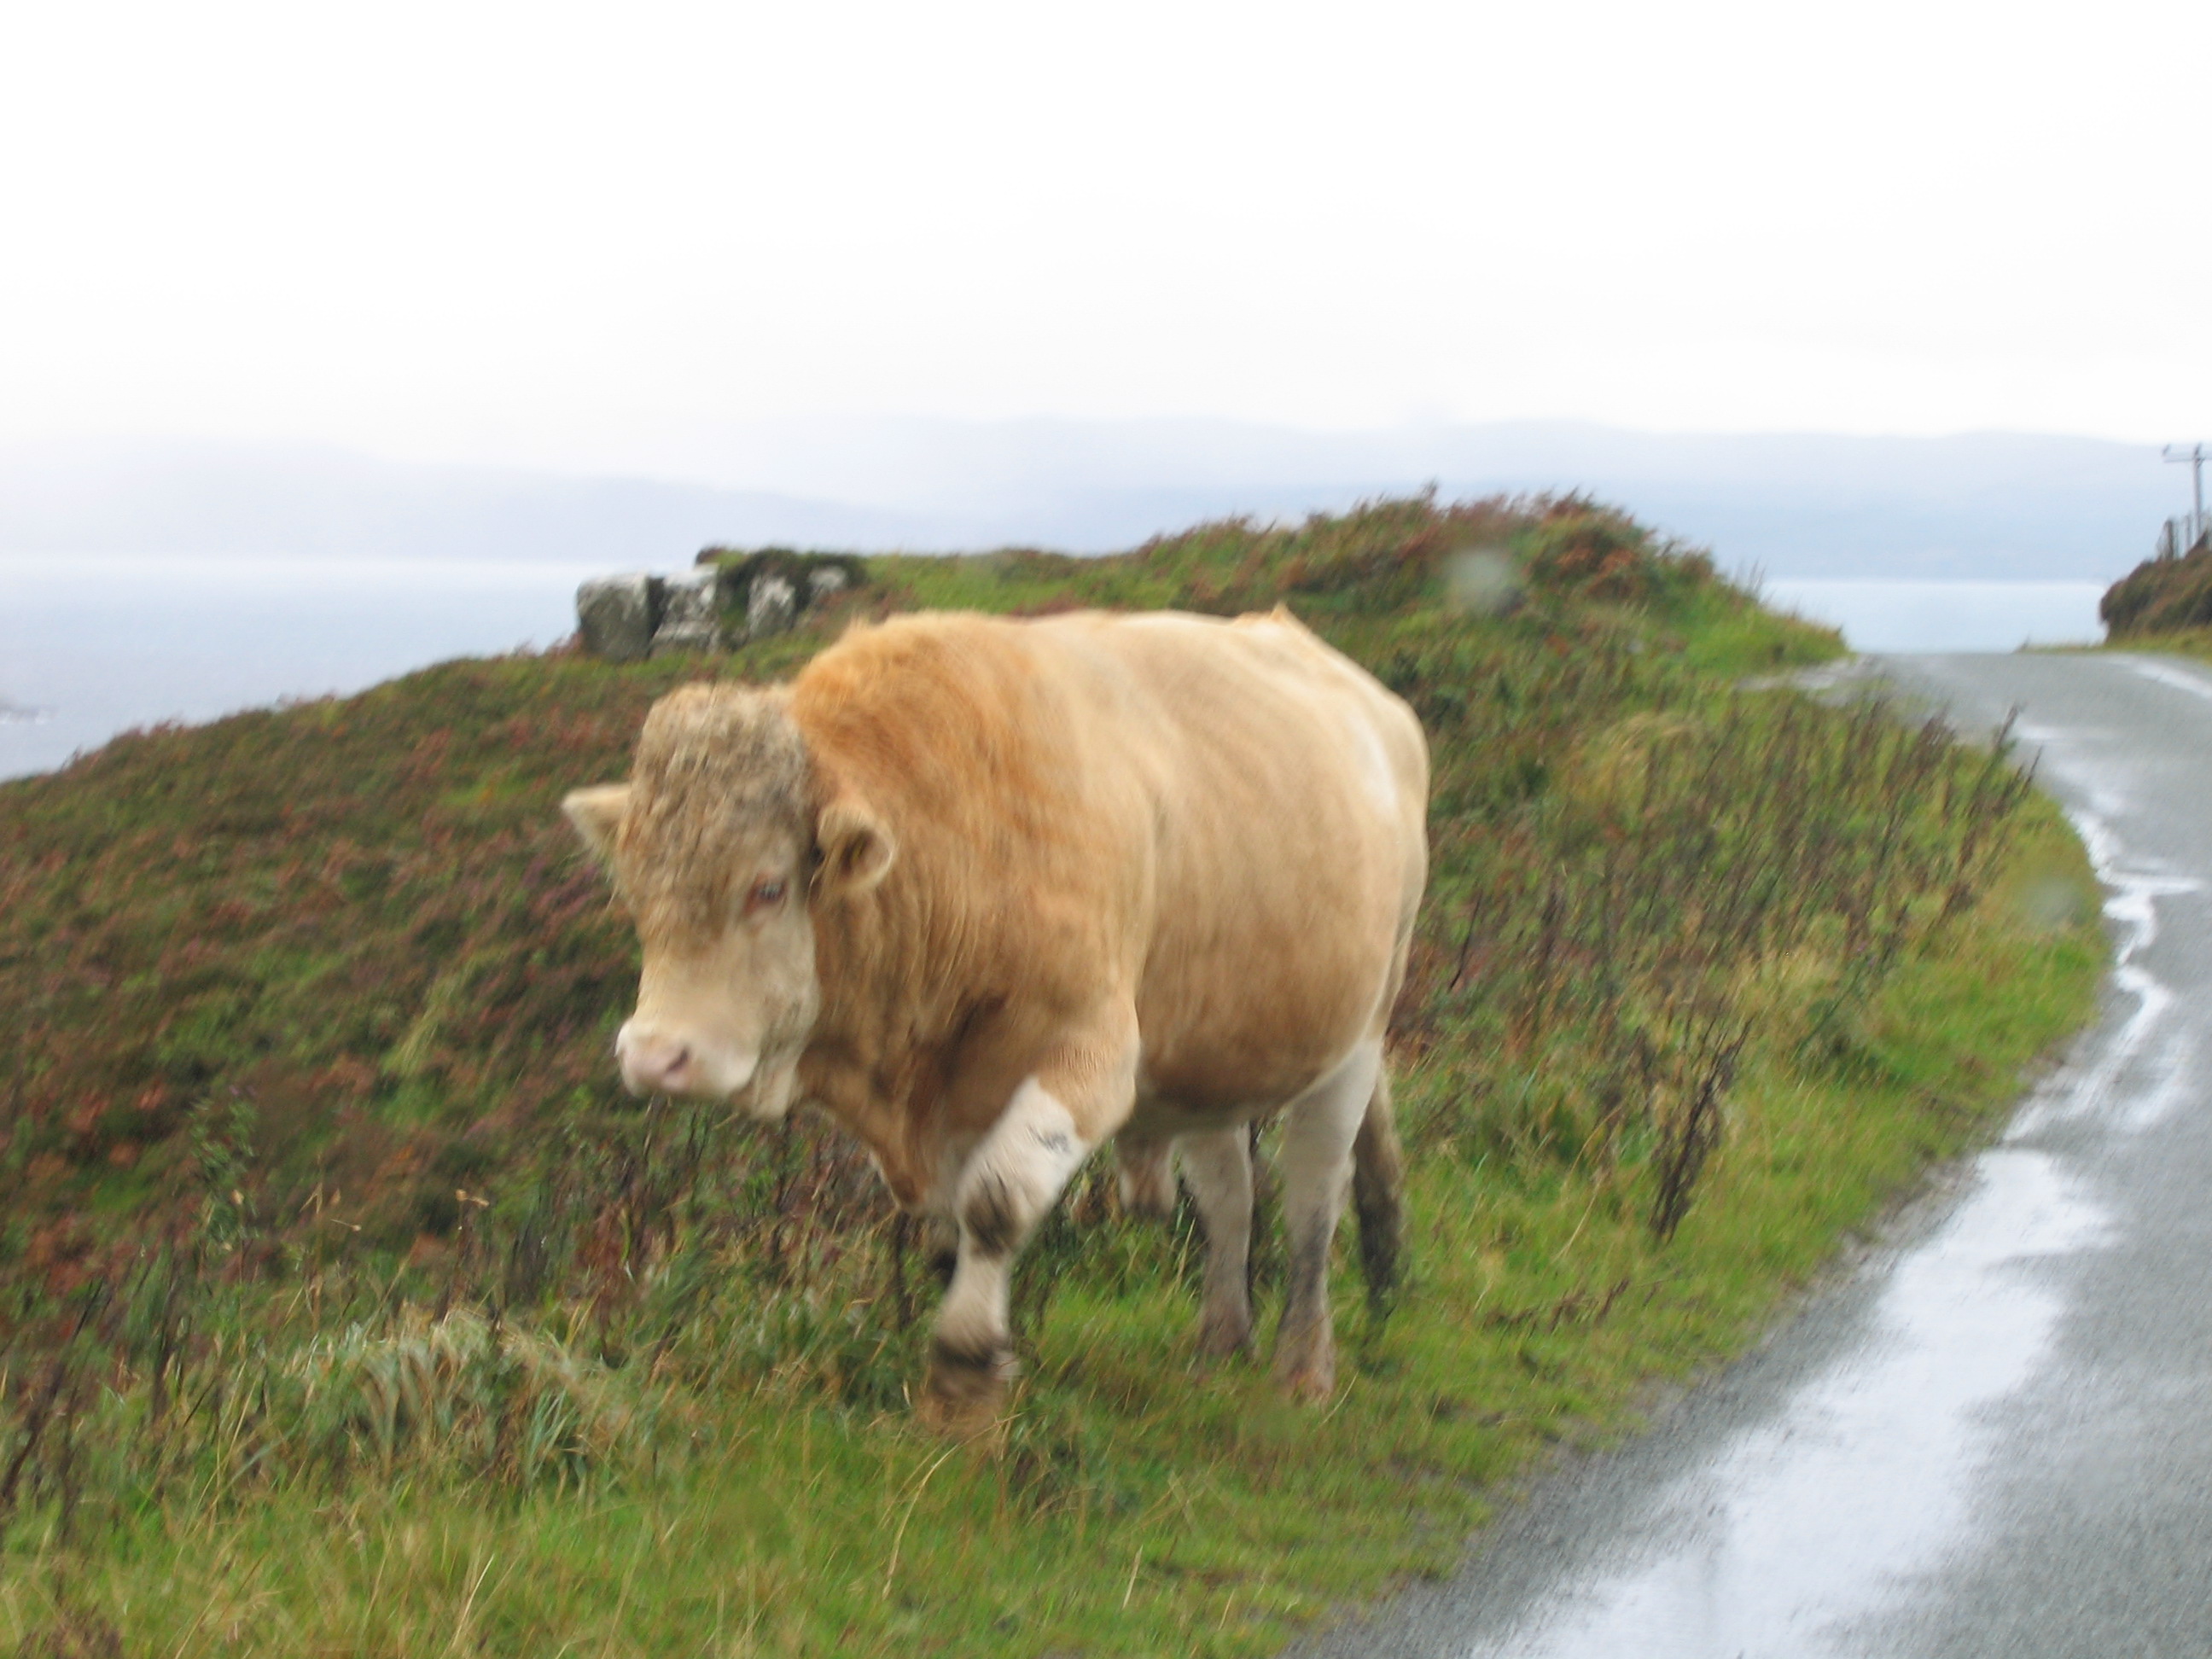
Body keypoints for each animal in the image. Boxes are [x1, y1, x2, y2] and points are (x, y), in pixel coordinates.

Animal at [566, 610, 1433, 1433]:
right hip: (1209, 1046)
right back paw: (1220, 1346)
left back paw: (1302, 1367)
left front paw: (964, 1375)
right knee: (1230, 1192)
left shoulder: (1092, 1055)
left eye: (768, 887)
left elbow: (994, 1203)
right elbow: (950, 1235)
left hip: (1358, 1028)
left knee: (1315, 1190)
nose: (654, 1055)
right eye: (634, 890)